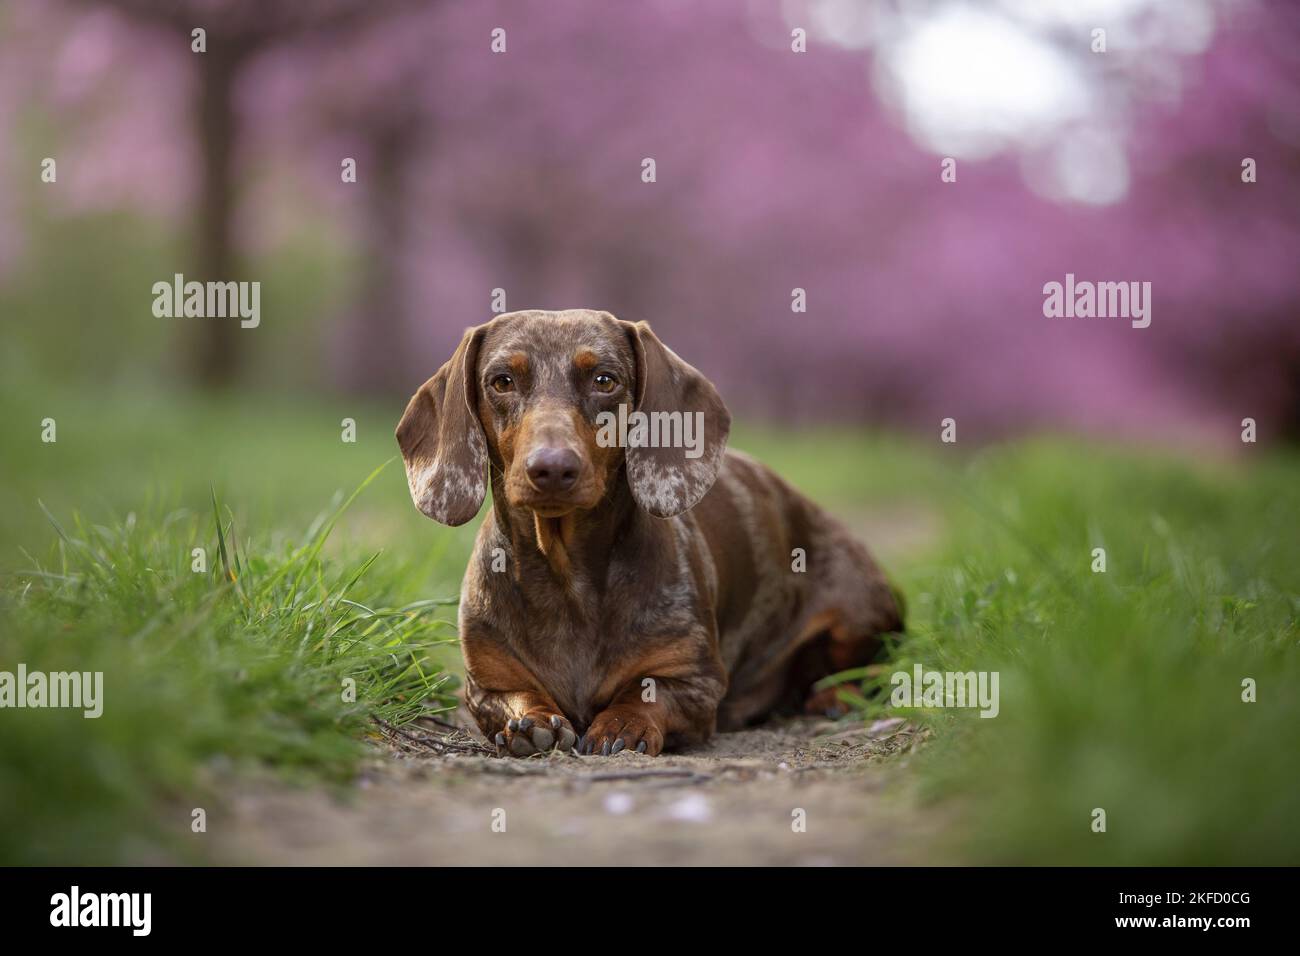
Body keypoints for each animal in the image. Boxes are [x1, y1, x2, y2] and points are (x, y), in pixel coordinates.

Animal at [395, 310, 904, 759]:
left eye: (605, 380)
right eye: (502, 381)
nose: (552, 468)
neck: (568, 581)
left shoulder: (697, 682)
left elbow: (648, 693)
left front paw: (624, 724)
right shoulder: (487, 685)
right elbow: (520, 696)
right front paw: (531, 722)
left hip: (856, 614)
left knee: (874, 663)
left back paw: (836, 696)